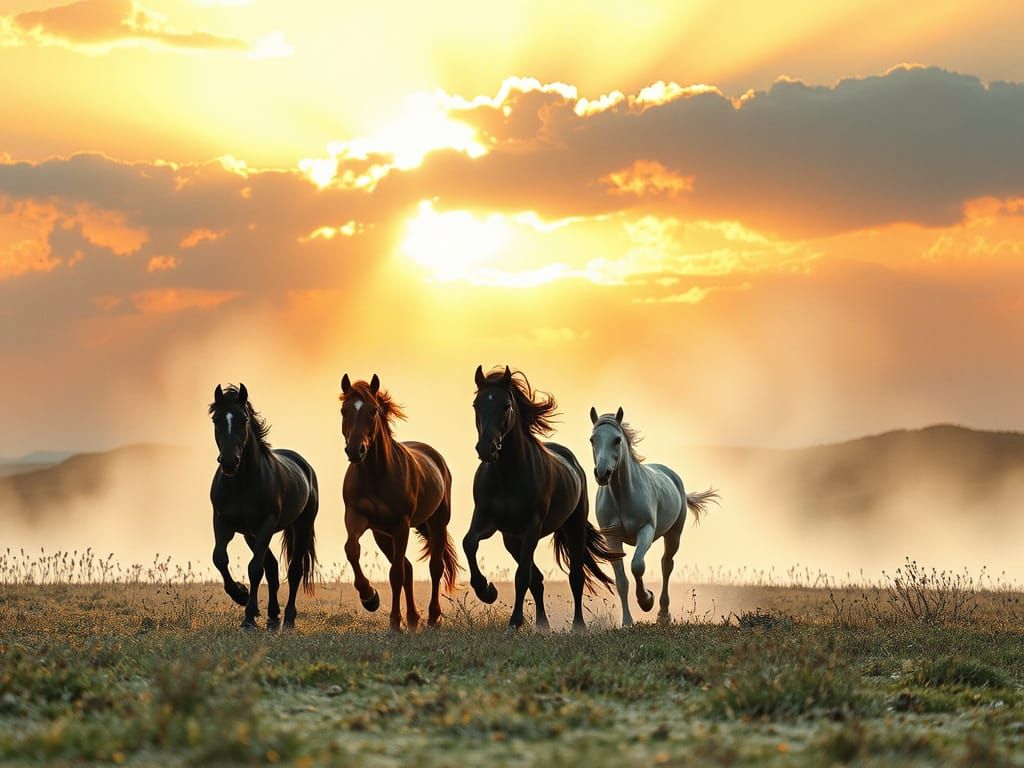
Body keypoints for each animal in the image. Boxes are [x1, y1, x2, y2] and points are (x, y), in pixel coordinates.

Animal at [208, 383, 319, 630]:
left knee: (294, 570)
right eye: (216, 420)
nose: (229, 462)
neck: (242, 482)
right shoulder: (222, 522)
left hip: (301, 526)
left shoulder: (265, 525)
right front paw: (240, 594)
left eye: (243, 419)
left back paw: (288, 618)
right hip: (250, 535)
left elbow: (254, 569)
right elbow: (220, 558)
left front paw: (249, 616)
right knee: (272, 567)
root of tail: (304, 466)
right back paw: (272, 615)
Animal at [339, 374, 459, 632]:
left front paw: (394, 623)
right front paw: (370, 597)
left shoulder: (400, 525)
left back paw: (432, 618)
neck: (376, 475)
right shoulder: (357, 518)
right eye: (344, 410)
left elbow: (396, 574)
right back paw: (413, 619)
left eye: (373, 411)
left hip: (436, 523)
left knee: (434, 568)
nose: (355, 450)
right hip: (382, 535)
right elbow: (352, 549)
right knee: (409, 568)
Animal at [464, 365, 617, 632]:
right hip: (511, 539)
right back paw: (542, 625)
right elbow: (469, 543)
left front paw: (514, 621)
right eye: (477, 404)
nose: (486, 449)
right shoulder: (486, 520)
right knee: (538, 579)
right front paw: (486, 590)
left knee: (575, 576)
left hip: (573, 527)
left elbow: (521, 575)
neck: (507, 475)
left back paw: (578, 626)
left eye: (506, 405)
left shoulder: (531, 528)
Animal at [589, 406, 718, 626]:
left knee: (666, 565)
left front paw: (646, 600)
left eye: (617, 439)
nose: (602, 474)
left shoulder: (646, 531)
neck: (623, 495)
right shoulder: (612, 538)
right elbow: (621, 580)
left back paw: (663, 615)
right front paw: (627, 622)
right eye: (592, 439)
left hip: (674, 535)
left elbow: (637, 566)